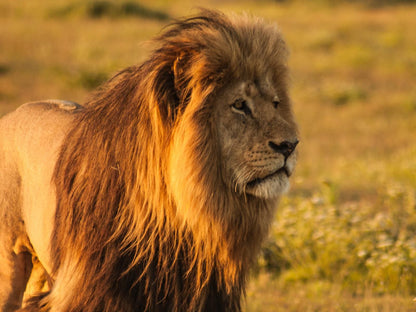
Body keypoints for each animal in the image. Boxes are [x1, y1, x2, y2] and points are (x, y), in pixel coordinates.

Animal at [0, 9, 300, 312]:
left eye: (275, 104)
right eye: (239, 105)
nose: (290, 145)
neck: (179, 221)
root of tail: (14, 112)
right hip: (9, 262)